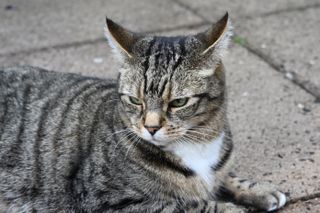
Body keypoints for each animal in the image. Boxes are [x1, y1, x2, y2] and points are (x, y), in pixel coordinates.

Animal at [0, 12, 288, 211]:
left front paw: (257, 189)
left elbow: (226, 175)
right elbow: (193, 205)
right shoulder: (110, 200)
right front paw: (233, 208)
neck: (198, 143)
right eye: (134, 100)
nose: (151, 128)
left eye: (178, 102)